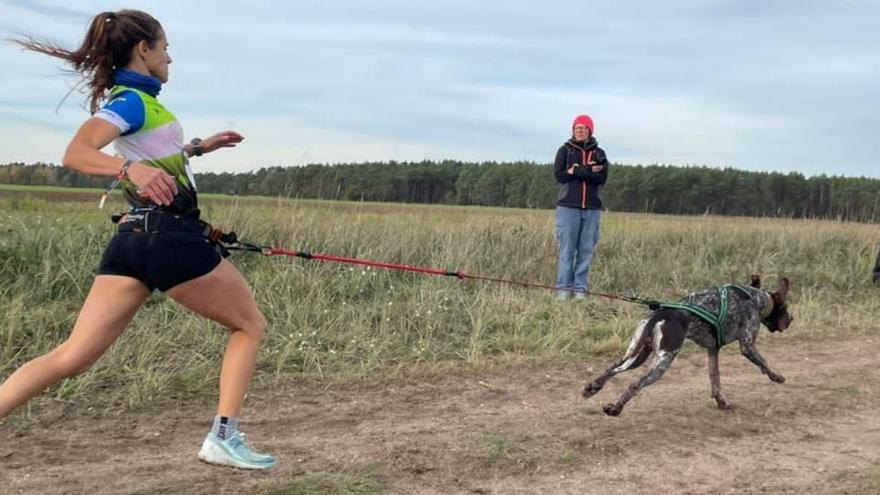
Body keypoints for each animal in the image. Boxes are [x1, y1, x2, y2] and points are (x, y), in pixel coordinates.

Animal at [584, 278, 792, 416]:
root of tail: (660, 314)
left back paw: (593, 387)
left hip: (637, 353)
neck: (756, 299)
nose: (791, 319)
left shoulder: (713, 350)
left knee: (612, 368)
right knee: (635, 383)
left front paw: (721, 401)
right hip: (664, 360)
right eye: (786, 307)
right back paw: (615, 408)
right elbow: (763, 362)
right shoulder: (747, 345)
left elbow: (715, 378)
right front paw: (776, 376)